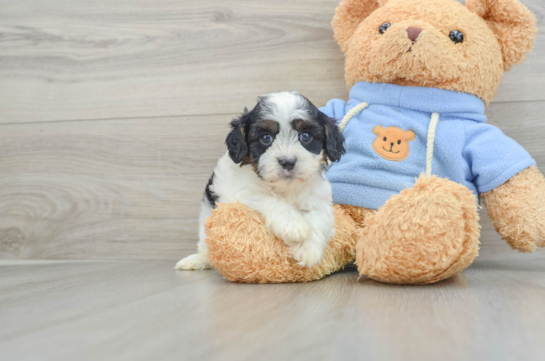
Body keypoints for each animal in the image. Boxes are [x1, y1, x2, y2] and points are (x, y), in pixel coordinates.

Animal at [174, 92, 344, 270]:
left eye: (305, 136)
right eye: (266, 138)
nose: (288, 162)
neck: (284, 188)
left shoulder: (319, 198)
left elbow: (319, 216)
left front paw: (308, 248)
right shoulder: (241, 193)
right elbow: (267, 199)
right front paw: (292, 224)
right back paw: (199, 260)